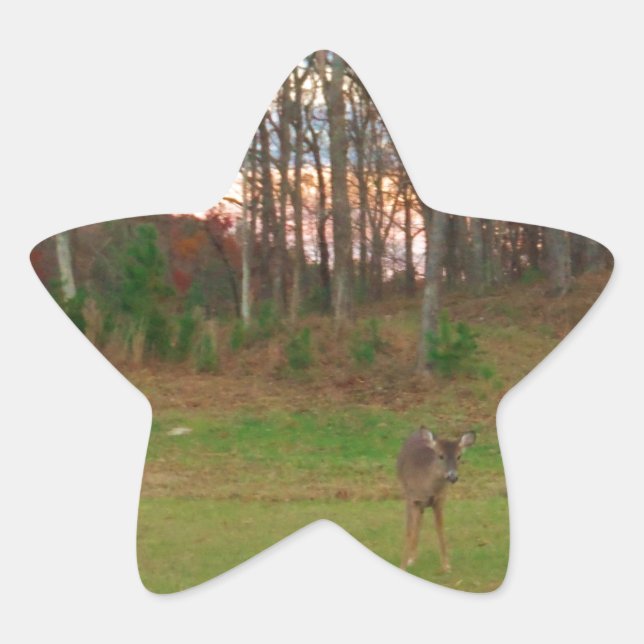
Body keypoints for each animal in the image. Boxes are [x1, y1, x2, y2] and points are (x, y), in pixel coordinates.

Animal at [397, 426, 476, 572]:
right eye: (440, 456)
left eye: (459, 456)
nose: (452, 476)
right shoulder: (412, 499)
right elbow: (409, 531)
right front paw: (403, 566)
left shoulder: (439, 500)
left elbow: (440, 529)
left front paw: (446, 566)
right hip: (406, 491)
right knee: (415, 523)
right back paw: (411, 559)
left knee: (420, 522)